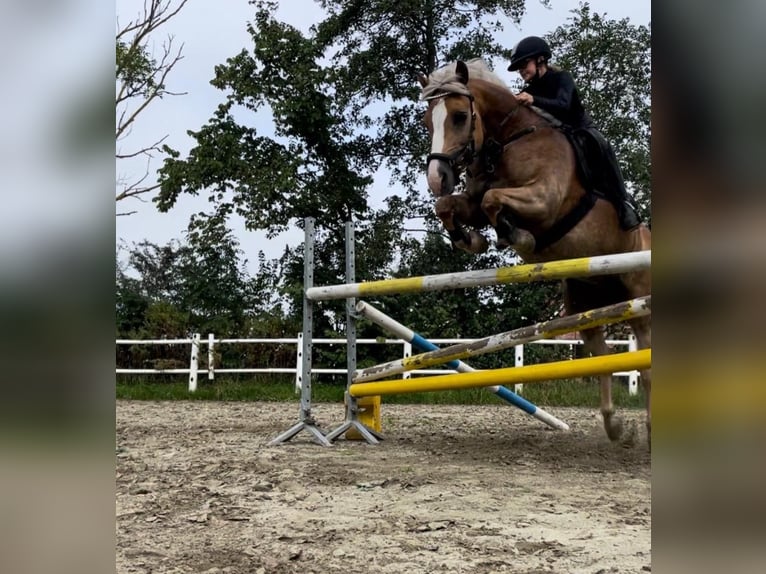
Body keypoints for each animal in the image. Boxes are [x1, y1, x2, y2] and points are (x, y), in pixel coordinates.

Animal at [420, 59, 656, 446]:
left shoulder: (544, 199)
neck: (508, 140)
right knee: (602, 357)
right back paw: (615, 426)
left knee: (646, 364)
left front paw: (516, 236)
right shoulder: (471, 201)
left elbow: (493, 200)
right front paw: (471, 240)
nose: (437, 178)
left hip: (638, 301)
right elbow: (451, 206)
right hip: (584, 304)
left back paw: (648, 429)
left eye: (458, 116)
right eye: (428, 121)